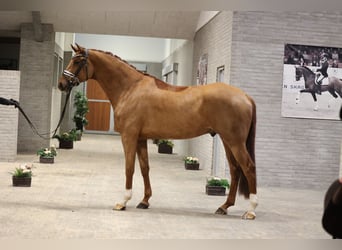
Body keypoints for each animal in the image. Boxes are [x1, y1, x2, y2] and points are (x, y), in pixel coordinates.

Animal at [58, 44, 258, 220]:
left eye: (77, 61)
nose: (61, 84)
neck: (130, 88)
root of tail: (246, 96)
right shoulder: (141, 139)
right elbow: (144, 168)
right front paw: (144, 201)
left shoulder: (129, 137)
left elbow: (129, 168)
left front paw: (123, 202)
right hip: (226, 140)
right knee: (235, 170)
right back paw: (224, 207)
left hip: (235, 141)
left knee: (248, 167)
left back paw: (251, 211)